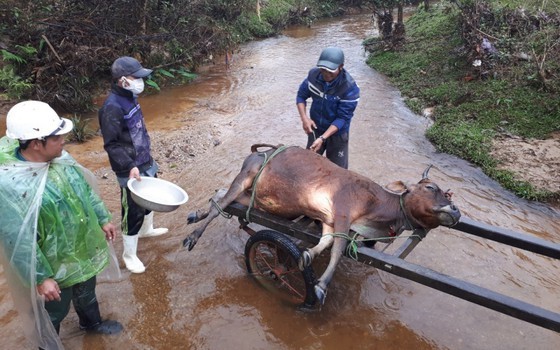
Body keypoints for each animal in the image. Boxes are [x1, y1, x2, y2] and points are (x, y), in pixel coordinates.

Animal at [184, 144, 460, 304]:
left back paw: (196, 214)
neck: (376, 208)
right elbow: (337, 251)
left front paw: (307, 255)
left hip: (255, 196)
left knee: (220, 196)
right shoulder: (343, 213)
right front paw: (320, 287)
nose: (455, 210)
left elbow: (325, 242)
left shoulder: (329, 220)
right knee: (221, 205)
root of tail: (258, 151)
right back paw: (193, 235)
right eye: (430, 188)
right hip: (247, 176)